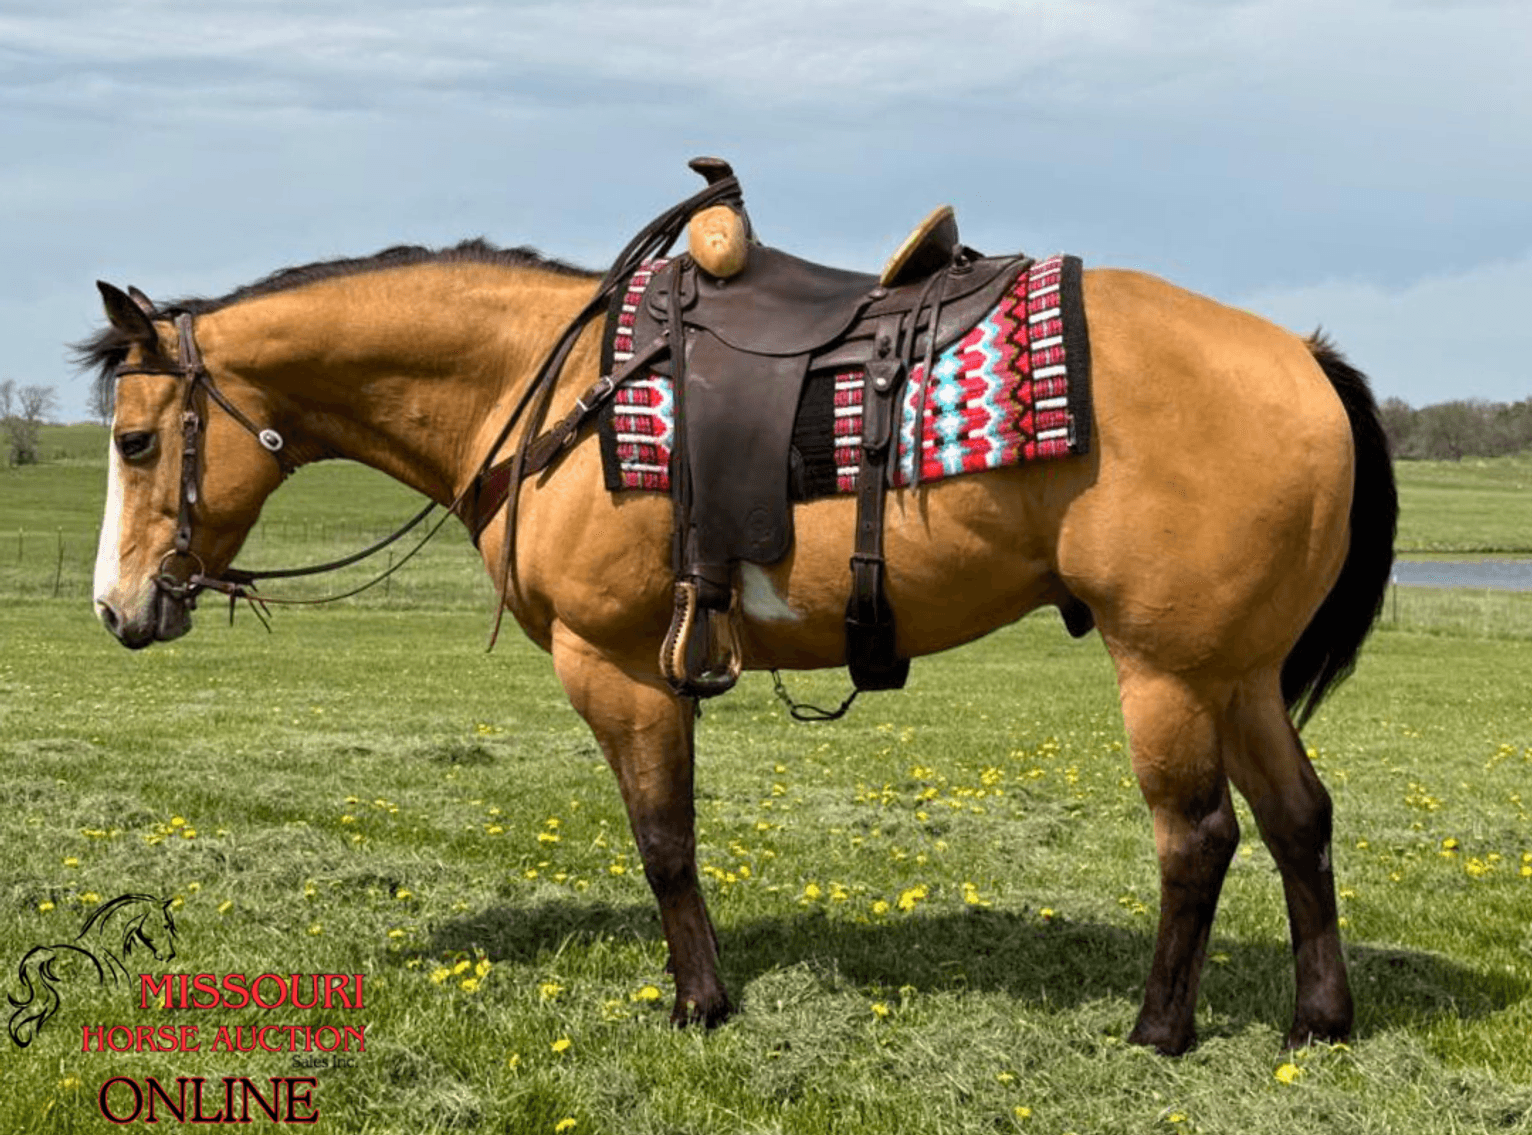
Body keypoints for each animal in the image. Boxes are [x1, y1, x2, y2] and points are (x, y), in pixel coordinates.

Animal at [80, 220, 1395, 1056]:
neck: (551, 393)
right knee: (1299, 820)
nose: (117, 606)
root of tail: (1298, 358)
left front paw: (698, 1004)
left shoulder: (615, 666)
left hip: (1166, 670)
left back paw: (1158, 1030)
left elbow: (663, 840)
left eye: (136, 440)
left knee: (1198, 837)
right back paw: (1317, 1019)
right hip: (1238, 672)